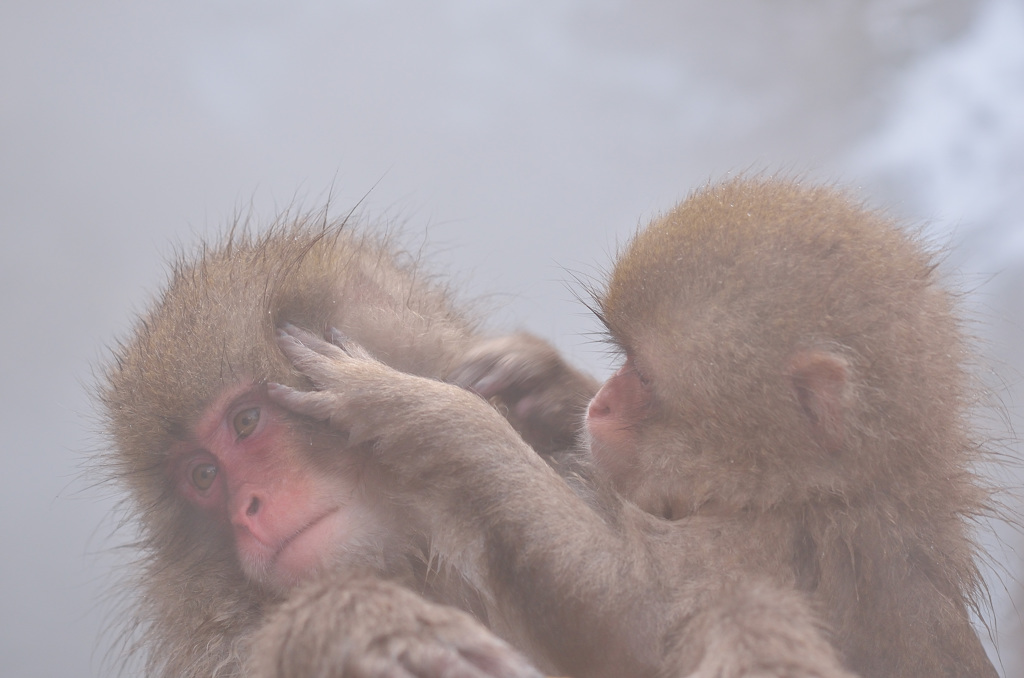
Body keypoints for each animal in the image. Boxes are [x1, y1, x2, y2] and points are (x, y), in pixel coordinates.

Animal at [272, 178, 999, 675]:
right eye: (621, 362)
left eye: (644, 379)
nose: (604, 403)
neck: (797, 493)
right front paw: (532, 376)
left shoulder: (764, 555)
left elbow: (626, 617)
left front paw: (418, 409)